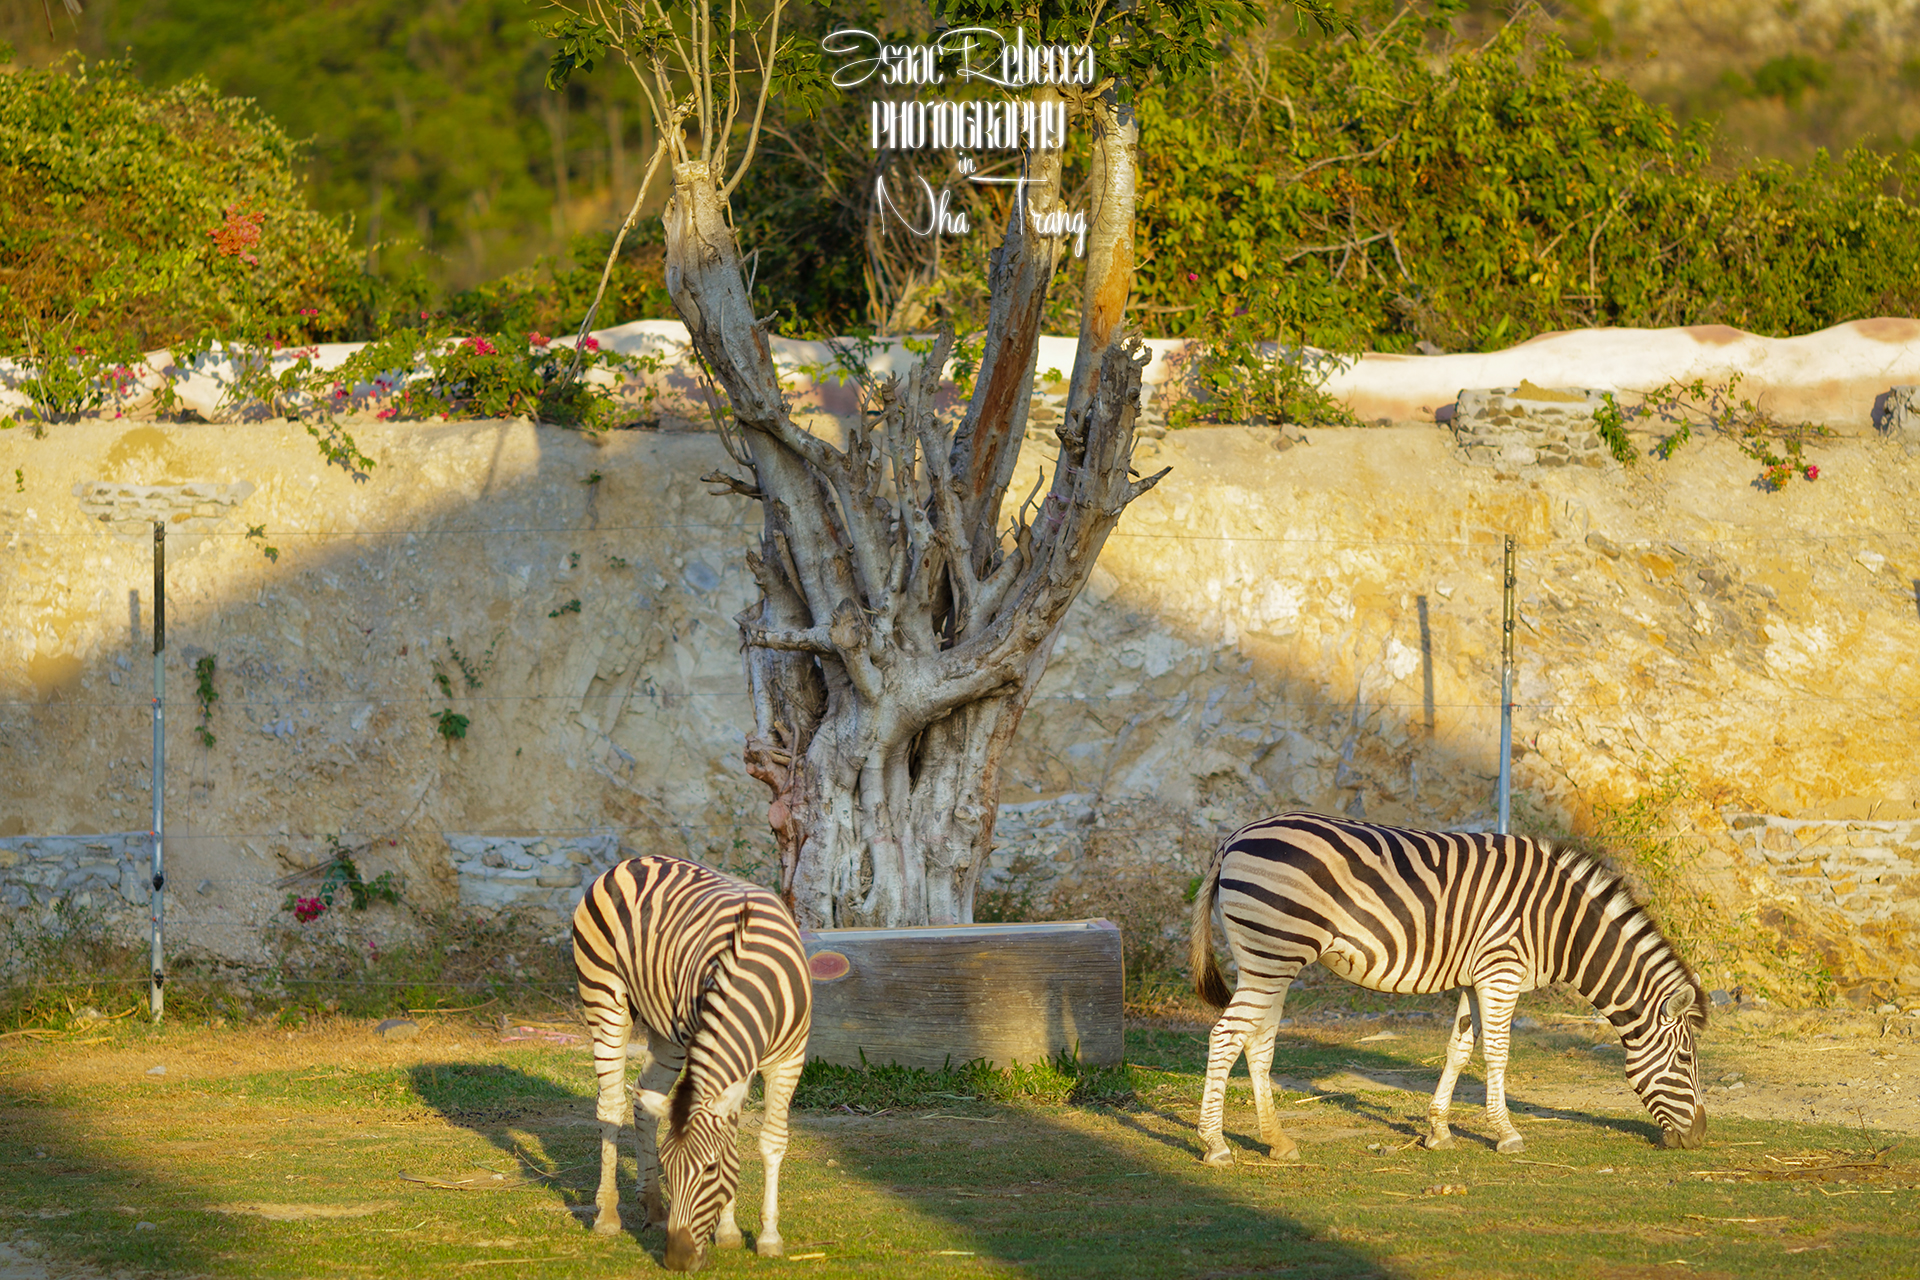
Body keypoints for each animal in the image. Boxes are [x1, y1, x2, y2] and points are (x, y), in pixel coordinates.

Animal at [568, 852, 810, 1274]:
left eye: (711, 1169)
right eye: (669, 1167)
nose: (678, 1260)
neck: (749, 976)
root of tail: (632, 861)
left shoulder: (789, 1058)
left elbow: (770, 1140)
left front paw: (766, 1237)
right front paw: (729, 1231)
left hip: (665, 1031)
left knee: (643, 1098)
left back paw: (652, 1206)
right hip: (604, 999)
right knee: (610, 1105)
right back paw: (608, 1215)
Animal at [1182, 817, 1712, 1166]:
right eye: (1687, 1059)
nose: (1701, 1135)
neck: (1560, 924)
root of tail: (1234, 839)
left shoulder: (1476, 976)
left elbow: (1460, 1047)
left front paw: (1438, 1130)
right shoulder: (1502, 971)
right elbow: (1496, 1052)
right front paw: (1507, 1133)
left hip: (1269, 960)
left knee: (1256, 1043)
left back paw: (1277, 1141)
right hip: (1272, 954)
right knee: (1226, 1036)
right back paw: (1215, 1145)